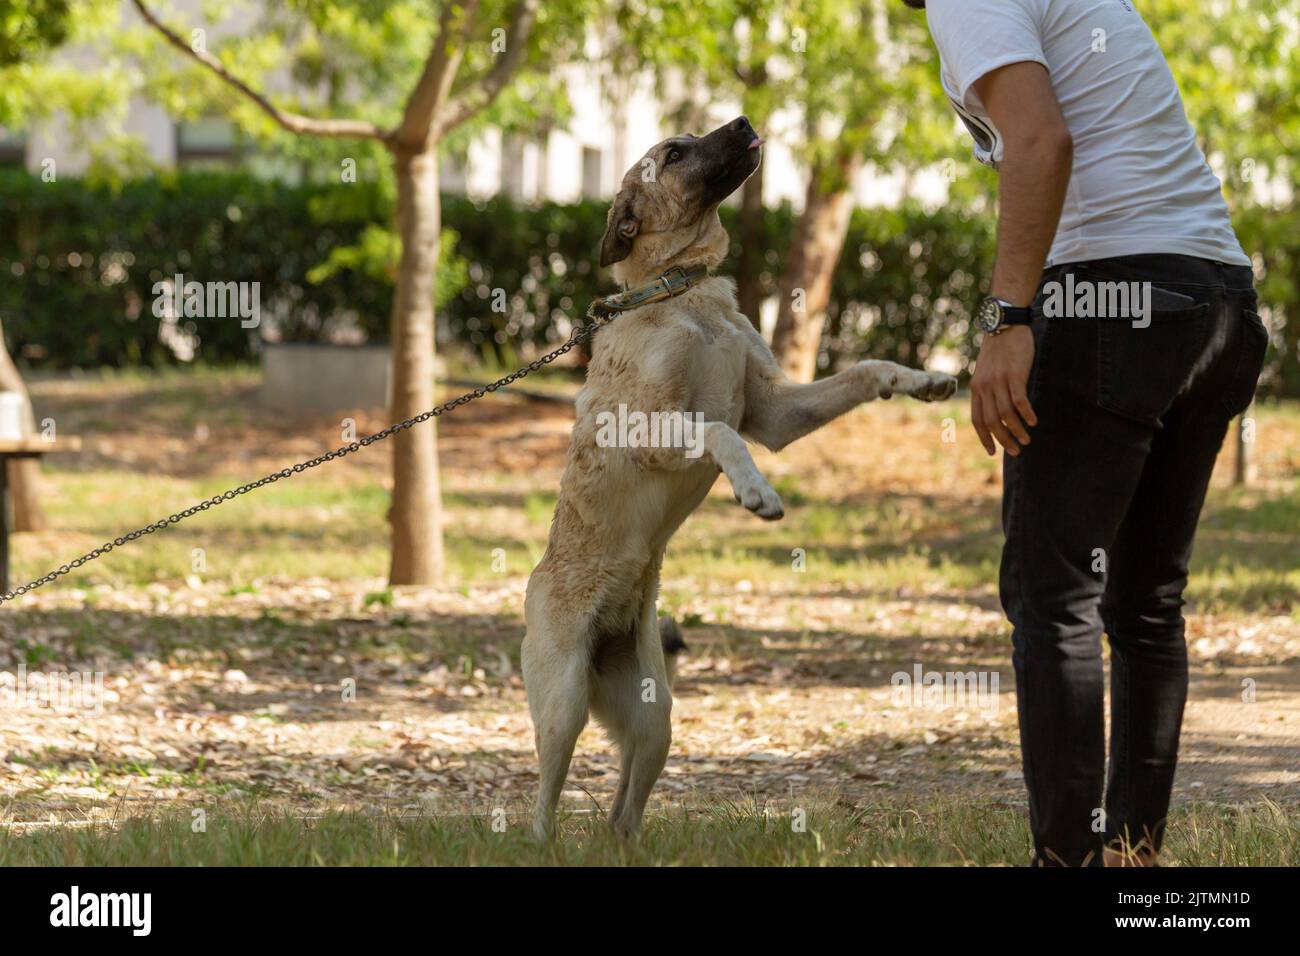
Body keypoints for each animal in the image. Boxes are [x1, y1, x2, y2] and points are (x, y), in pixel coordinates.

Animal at [522, 115, 961, 842]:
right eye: (673, 153)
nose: (747, 122)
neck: (683, 291)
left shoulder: (775, 413)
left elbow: (865, 370)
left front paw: (922, 379)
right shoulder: (646, 428)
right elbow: (719, 433)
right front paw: (756, 491)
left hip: (655, 719)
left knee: (623, 808)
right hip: (563, 704)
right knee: (542, 801)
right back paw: (542, 841)